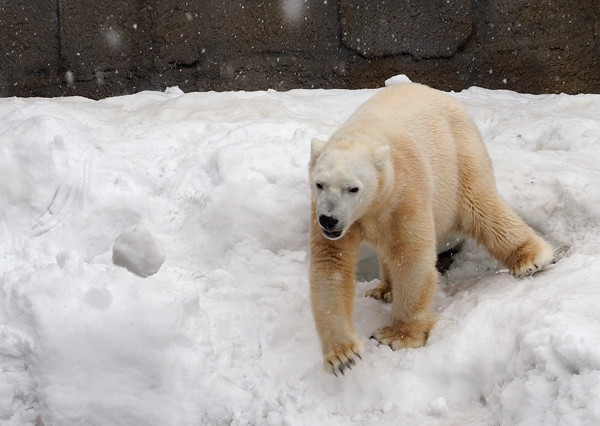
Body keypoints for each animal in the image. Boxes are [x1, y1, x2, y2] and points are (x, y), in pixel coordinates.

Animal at [310, 81, 552, 374]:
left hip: (460, 158)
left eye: (353, 188)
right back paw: (383, 289)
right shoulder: (325, 214)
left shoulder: (405, 193)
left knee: (481, 207)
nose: (329, 219)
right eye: (320, 184)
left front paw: (397, 336)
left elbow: (411, 257)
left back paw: (532, 259)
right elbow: (330, 265)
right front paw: (343, 355)